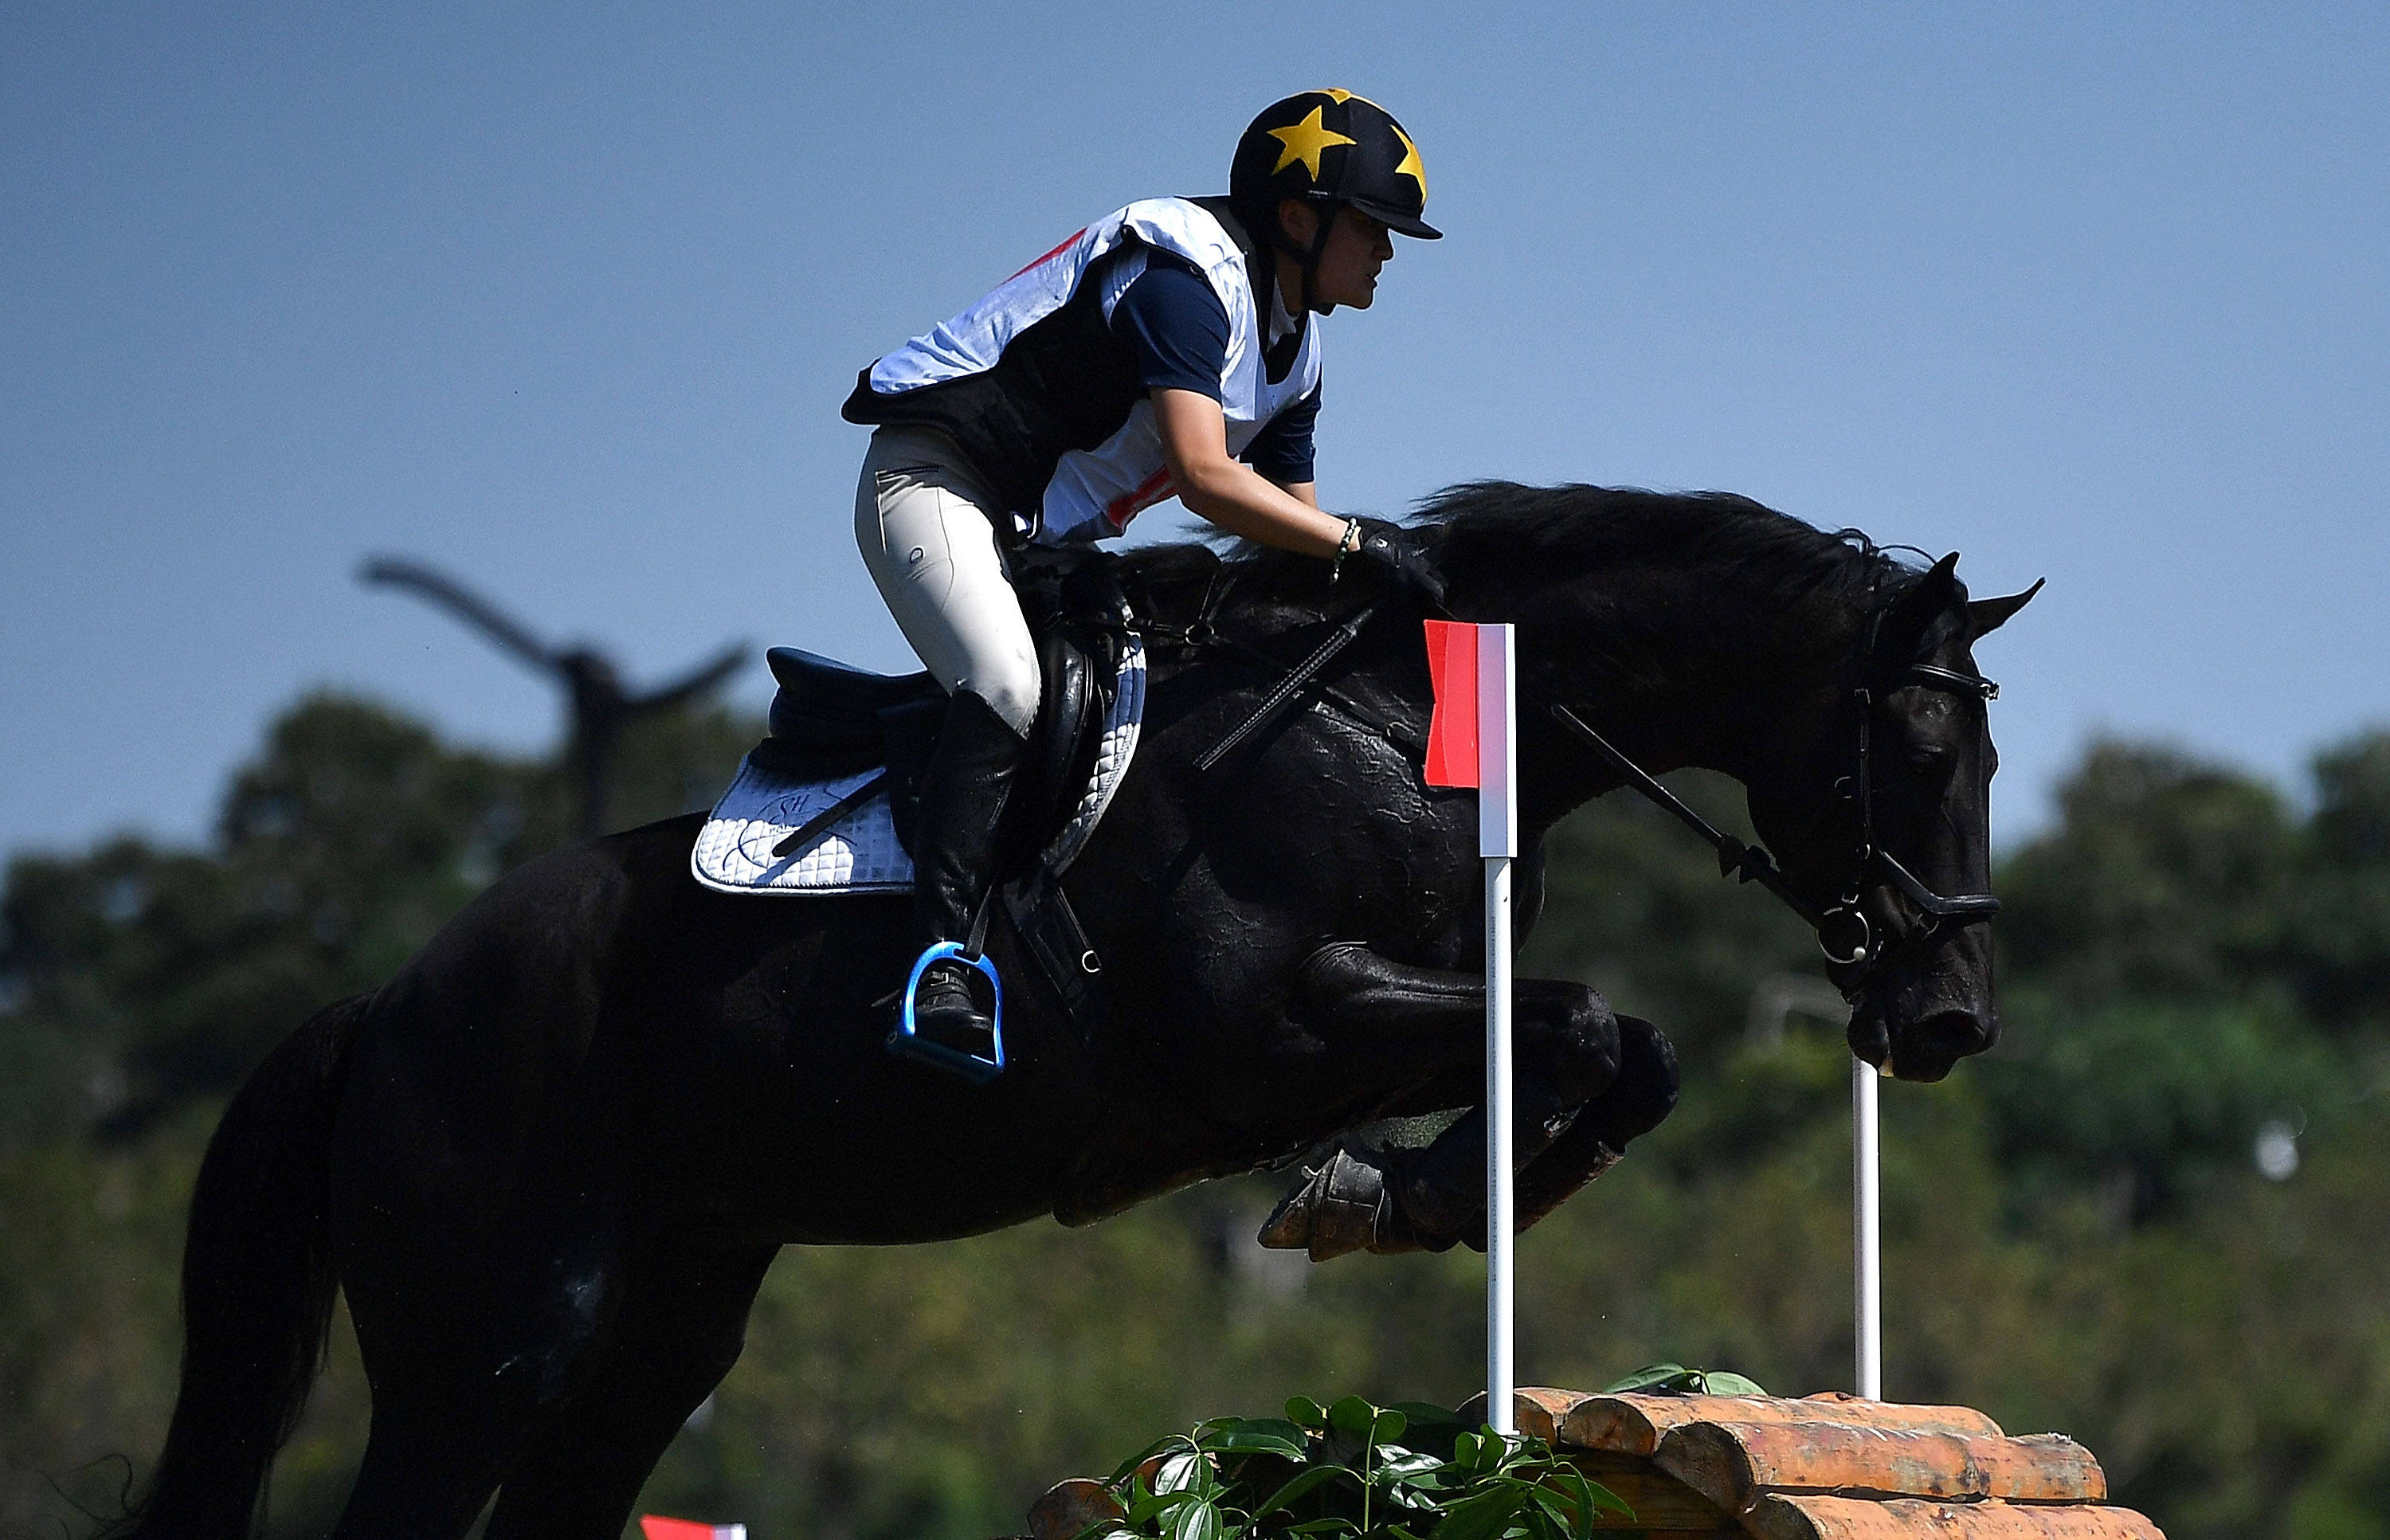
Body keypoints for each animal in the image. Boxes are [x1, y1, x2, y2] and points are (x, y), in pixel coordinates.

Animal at [116, 485, 2036, 1540]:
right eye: (1924, 743)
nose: (1947, 1018)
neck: (1394, 720)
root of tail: (383, 1003)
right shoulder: (1265, 1027)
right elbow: (1576, 1023)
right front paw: (1401, 1194)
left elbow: (1624, 1047)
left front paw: (1412, 1191)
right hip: (492, 1342)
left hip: (660, 1333)